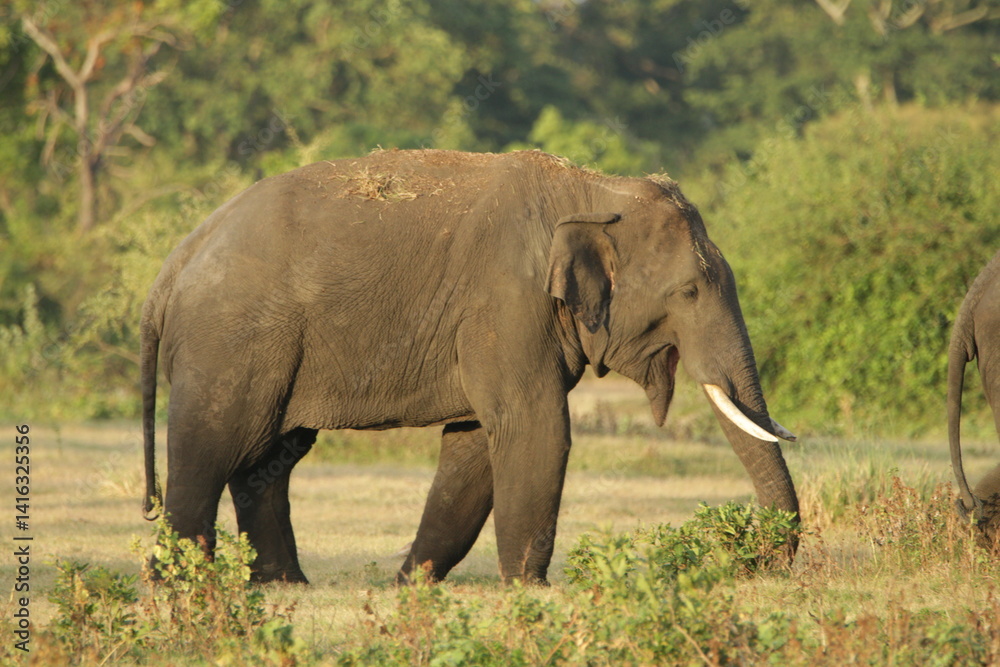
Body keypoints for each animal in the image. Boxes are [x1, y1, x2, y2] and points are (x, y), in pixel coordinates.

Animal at [140, 148, 799, 585]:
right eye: (688, 292)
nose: (754, 564)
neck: (593, 191)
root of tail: (174, 262)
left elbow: (476, 443)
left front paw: (411, 584)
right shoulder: (505, 302)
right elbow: (534, 428)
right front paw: (528, 590)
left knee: (270, 456)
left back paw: (284, 586)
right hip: (230, 340)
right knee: (210, 447)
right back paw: (184, 586)